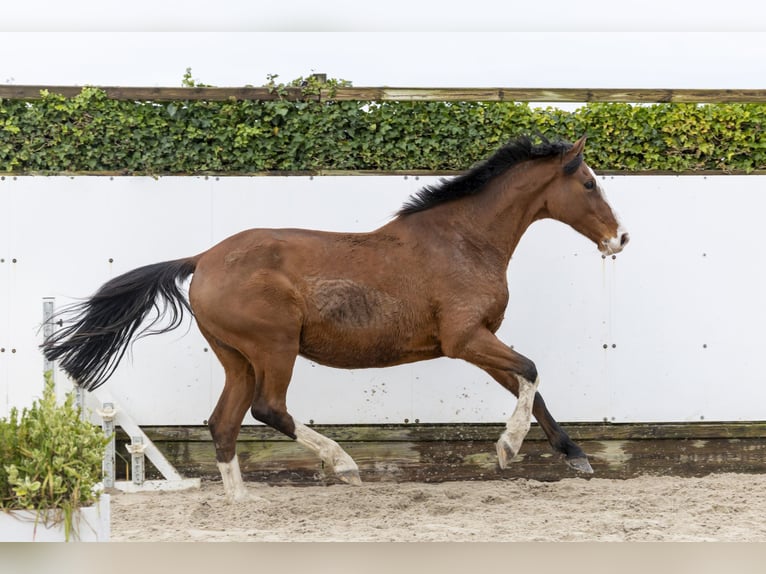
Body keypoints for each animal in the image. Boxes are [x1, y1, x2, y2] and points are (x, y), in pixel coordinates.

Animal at [42, 135, 629, 502]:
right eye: (589, 184)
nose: (620, 238)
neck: (464, 241)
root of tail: (203, 259)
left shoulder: (478, 341)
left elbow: (530, 386)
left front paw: (574, 457)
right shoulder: (465, 338)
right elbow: (531, 370)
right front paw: (508, 449)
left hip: (237, 357)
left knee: (223, 422)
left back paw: (242, 502)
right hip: (275, 347)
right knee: (268, 410)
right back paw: (343, 465)